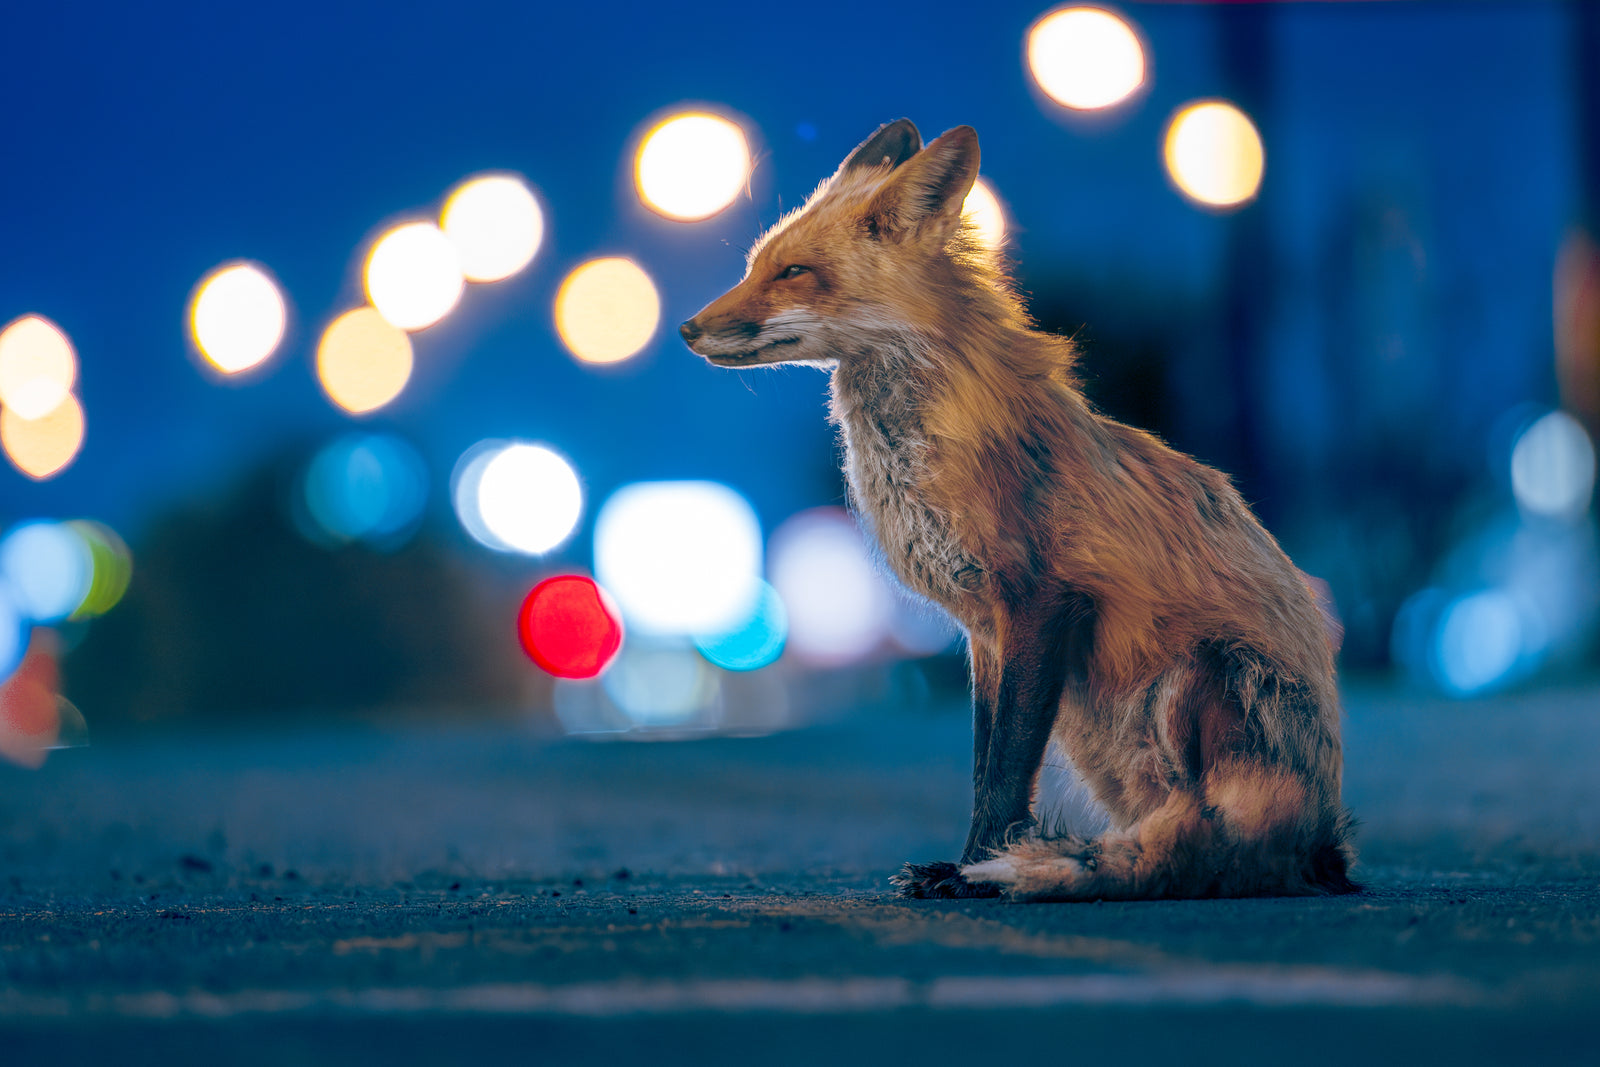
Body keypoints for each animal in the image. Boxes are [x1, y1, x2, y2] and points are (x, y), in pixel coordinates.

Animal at [680, 119, 1358, 901]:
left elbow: (1004, 772)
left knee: (1211, 839)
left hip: (1197, 675)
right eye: (754, 266)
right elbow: (984, 766)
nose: (687, 329)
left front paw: (972, 874)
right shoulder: (986, 632)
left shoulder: (1041, 600)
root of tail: (1323, 843)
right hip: (1093, 727)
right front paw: (967, 864)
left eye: (792, 272)